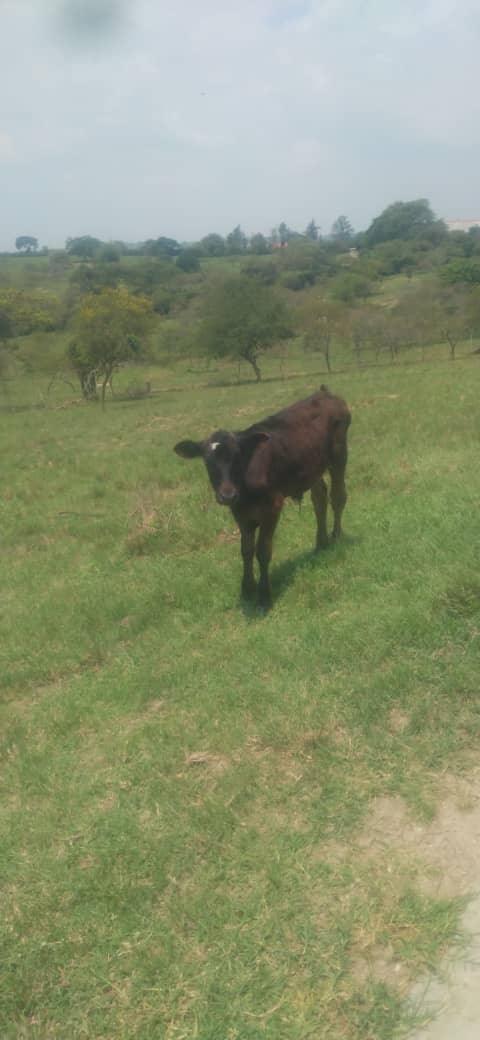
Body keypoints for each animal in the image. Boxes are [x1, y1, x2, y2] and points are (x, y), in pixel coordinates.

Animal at [174, 386, 351, 609]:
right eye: (208, 461)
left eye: (238, 456)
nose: (227, 494)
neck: (245, 490)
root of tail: (323, 393)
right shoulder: (241, 513)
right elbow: (246, 550)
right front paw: (247, 589)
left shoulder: (272, 507)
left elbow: (263, 551)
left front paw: (264, 594)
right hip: (312, 468)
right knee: (320, 498)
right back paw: (321, 543)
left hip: (339, 456)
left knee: (338, 497)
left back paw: (336, 536)